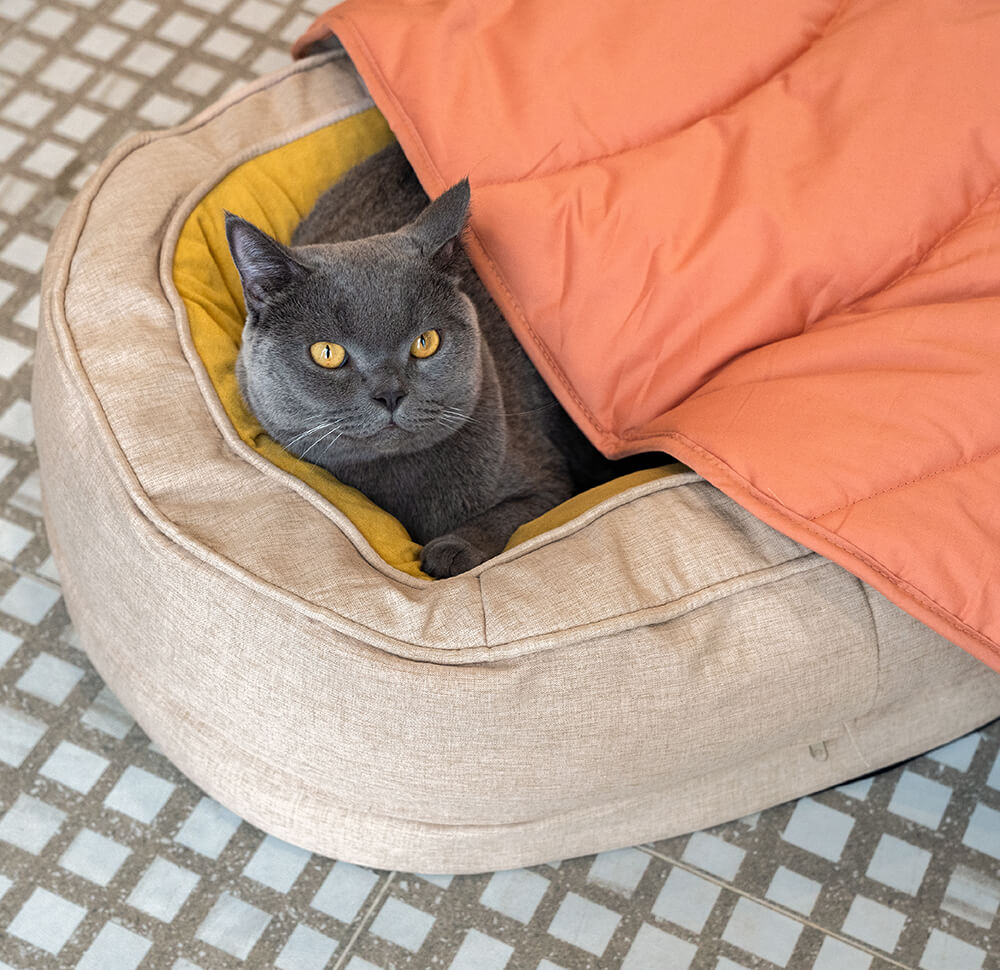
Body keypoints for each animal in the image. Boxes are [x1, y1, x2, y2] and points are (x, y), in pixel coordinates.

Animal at [225, 144, 648, 576]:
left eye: (425, 342)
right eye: (327, 353)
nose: (390, 394)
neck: (398, 478)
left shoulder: (545, 482)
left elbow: (501, 516)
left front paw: (451, 551)